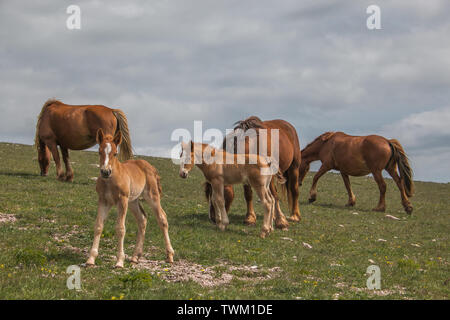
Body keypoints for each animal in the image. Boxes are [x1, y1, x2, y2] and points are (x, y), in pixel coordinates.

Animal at [86, 128, 174, 268]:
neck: (110, 180)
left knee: (162, 218)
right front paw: (91, 259)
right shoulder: (103, 201)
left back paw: (170, 256)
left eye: (115, 153)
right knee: (142, 219)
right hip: (133, 201)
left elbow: (120, 228)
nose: (105, 172)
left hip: (151, 196)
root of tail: (151, 167)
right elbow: (98, 226)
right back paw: (135, 257)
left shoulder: (122, 200)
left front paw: (119, 261)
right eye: (99, 151)